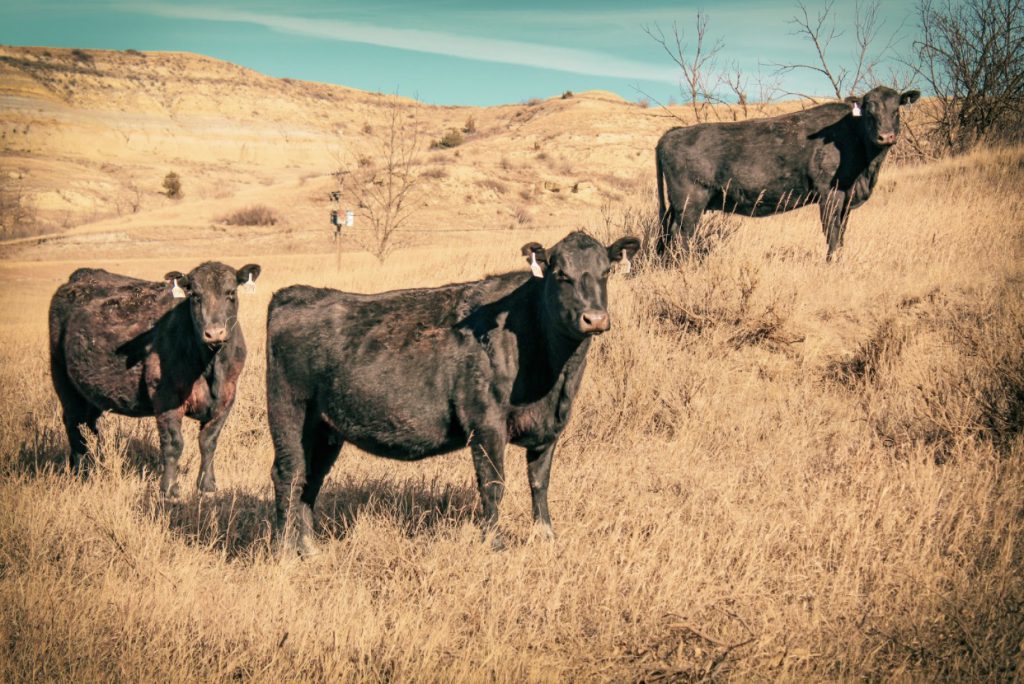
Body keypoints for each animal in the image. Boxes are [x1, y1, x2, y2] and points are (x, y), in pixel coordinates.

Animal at [49, 264, 262, 497]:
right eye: (195, 296)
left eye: (231, 293)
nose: (214, 333)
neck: (210, 367)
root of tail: (80, 275)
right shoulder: (166, 398)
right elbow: (173, 444)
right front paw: (169, 489)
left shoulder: (226, 398)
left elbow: (209, 441)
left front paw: (207, 486)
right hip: (64, 381)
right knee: (74, 425)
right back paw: (81, 471)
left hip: (91, 392)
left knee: (88, 426)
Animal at [264, 229, 638, 557]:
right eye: (561, 273)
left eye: (606, 271)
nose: (594, 318)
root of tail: (295, 294)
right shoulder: (486, 425)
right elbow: (493, 485)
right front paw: (494, 544)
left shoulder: (549, 429)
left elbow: (539, 482)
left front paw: (546, 537)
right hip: (289, 412)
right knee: (288, 474)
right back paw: (284, 551)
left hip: (325, 428)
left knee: (310, 479)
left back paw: (310, 549)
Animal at [659, 83, 925, 259]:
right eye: (869, 111)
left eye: (896, 110)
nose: (886, 136)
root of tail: (673, 133)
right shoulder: (830, 195)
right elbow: (832, 233)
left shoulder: (847, 200)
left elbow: (841, 234)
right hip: (689, 204)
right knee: (681, 237)